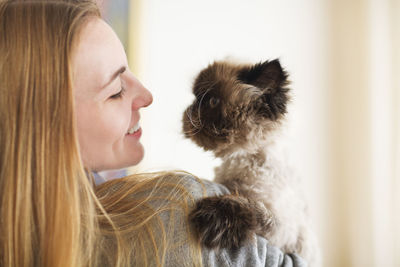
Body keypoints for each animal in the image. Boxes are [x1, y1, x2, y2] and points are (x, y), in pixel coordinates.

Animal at [183, 59, 320, 266]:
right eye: (195, 98)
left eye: (212, 101)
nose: (190, 108)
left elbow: (251, 208)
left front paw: (211, 217)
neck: (243, 159)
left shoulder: (284, 234)